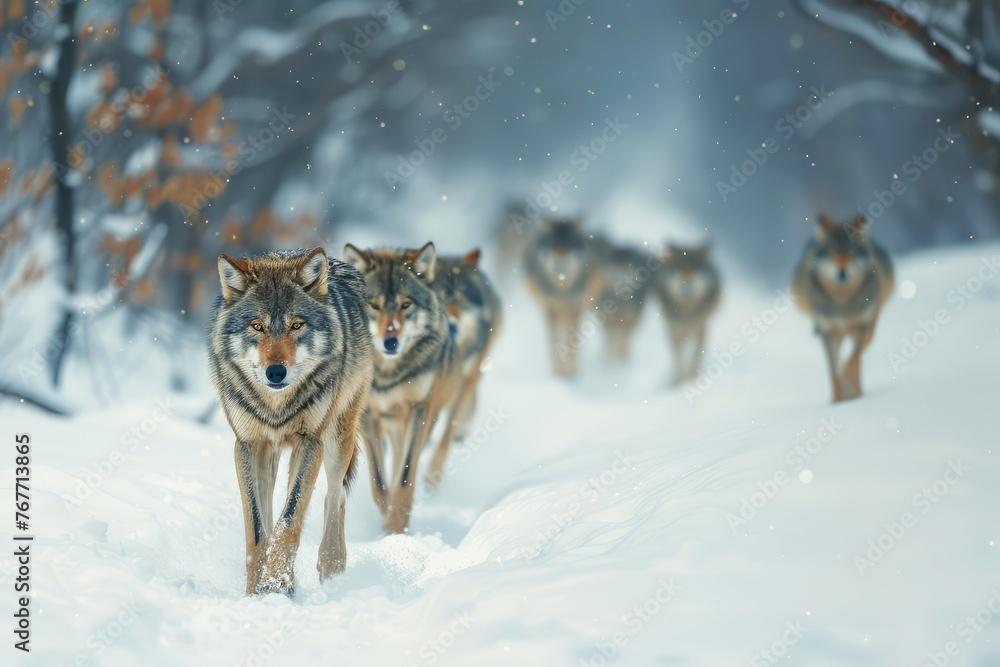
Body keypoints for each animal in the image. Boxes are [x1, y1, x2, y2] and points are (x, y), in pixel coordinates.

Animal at [208, 247, 373, 596]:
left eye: (296, 325)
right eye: (257, 326)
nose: (276, 372)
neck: (275, 406)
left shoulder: (310, 441)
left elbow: (290, 520)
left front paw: (276, 584)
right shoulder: (246, 445)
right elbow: (258, 530)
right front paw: (256, 592)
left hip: (336, 439)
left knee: (334, 497)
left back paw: (332, 567)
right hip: (270, 456)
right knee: (274, 509)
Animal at [342, 242, 462, 533]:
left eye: (405, 305)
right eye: (374, 305)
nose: (391, 342)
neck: (388, 375)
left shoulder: (419, 410)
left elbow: (405, 477)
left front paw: (396, 528)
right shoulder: (366, 416)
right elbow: (379, 482)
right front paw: (388, 521)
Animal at [523, 219, 605, 376]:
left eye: (569, 248)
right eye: (553, 247)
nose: (560, 263)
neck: (562, 289)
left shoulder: (575, 308)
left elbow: (571, 343)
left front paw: (570, 372)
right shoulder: (549, 309)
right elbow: (553, 343)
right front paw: (558, 373)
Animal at [652, 243, 720, 385]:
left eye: (696, 267)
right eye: (679, 267)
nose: (686, 279)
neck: (686, 312)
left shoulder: (701, 328)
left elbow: (696, 356)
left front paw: (692, 378)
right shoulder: (674, 330)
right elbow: (678, 360)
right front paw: (678, 382)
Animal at [792, 214, 893, 402]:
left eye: (851, 252)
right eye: (832, 252)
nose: (842, 272)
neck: (842, 303)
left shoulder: (861, 326)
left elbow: (852, 362)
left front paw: (853, 393)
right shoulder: (828, 332)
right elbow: (834, 373)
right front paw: (838, 401)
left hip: (868, 325)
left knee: (860, 352)